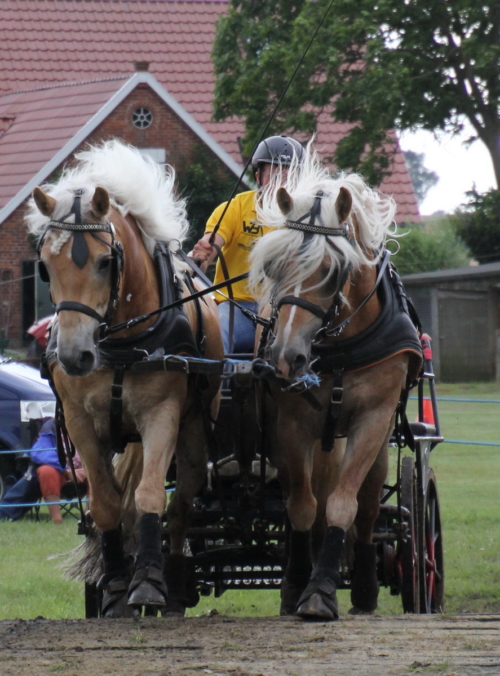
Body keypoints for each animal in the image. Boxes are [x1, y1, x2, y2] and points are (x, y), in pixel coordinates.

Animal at [26, 141, 223, 616]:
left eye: (104, 261)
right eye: (45, 266)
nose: (75, 355)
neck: (119, 341)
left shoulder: (161, 415)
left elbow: (150, 496)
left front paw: (148, 581)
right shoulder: (79, 421)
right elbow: (106, 503)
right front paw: (115, 584)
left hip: (194, 430)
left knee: (182, 505)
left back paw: (174, 585)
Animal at [250, 151, 422, 620]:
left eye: (331, 270)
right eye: (274, 267)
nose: (285, 357)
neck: (343, 345)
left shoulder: (373, 420)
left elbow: (344, 504)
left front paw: (322, 590)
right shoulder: (291, 426)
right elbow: (303, 506)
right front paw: (297, 583)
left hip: (378, 443)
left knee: (369, 507)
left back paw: (363, 585)